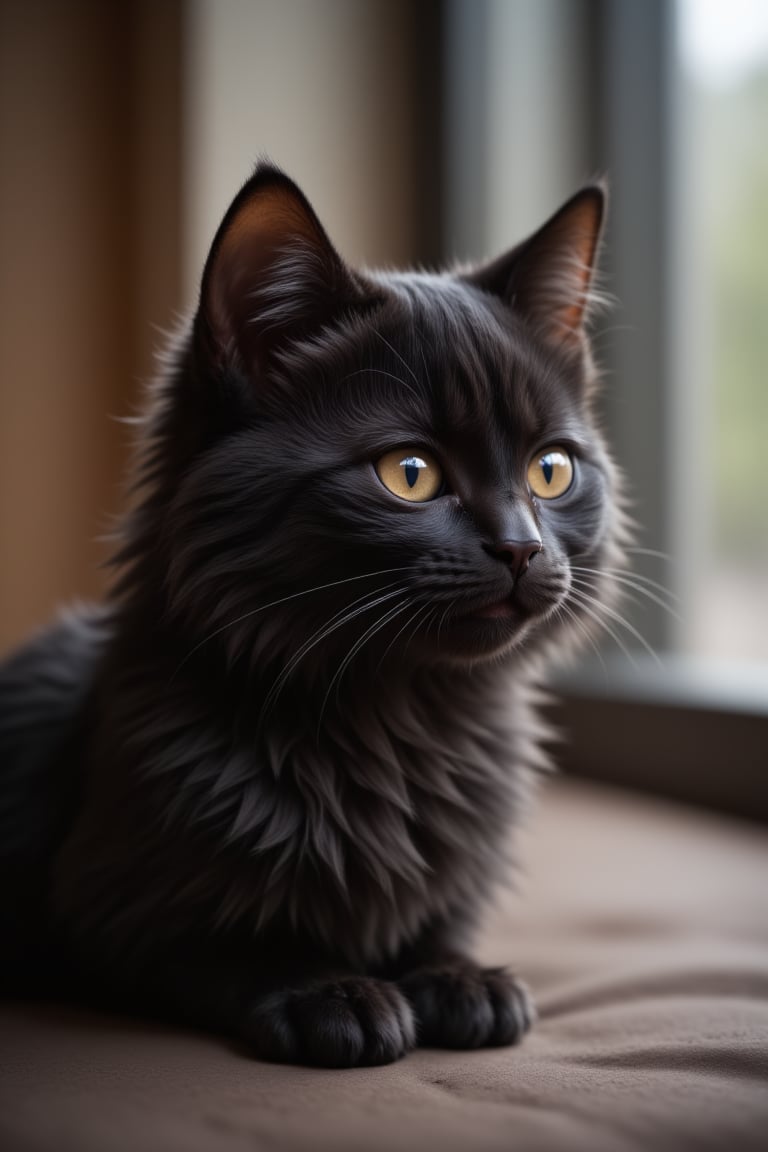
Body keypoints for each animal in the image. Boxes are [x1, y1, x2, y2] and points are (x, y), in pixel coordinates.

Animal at [0, 164, 626, 1069]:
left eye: (551, 471)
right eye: (409, 473)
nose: (521, 546)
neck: (399, 724)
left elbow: (434, 925)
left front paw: (457, 976)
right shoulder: (98, 912)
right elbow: (220, 943)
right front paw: (326, 990)